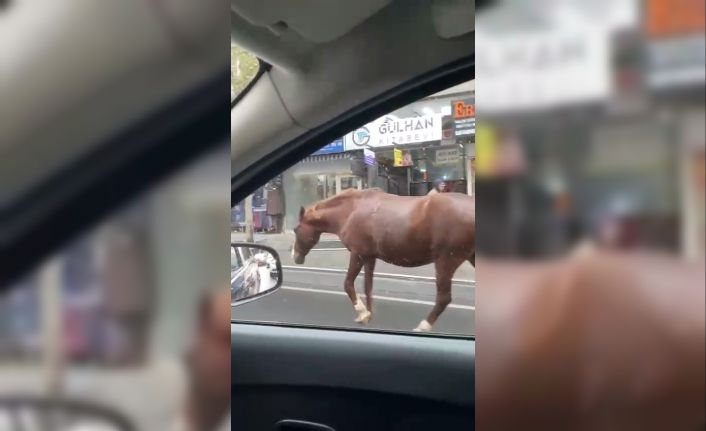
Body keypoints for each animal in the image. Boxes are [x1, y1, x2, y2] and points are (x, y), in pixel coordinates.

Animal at [292, 187, 472, 332]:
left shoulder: (357, 254)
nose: (295, 256)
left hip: (445, 261)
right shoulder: (369, 257)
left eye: (295, 229)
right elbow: (368, 287)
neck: (350, 211)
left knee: (443, 298)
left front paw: (362, 313)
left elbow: (348, 284)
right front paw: (368, 314)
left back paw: (423, 326)